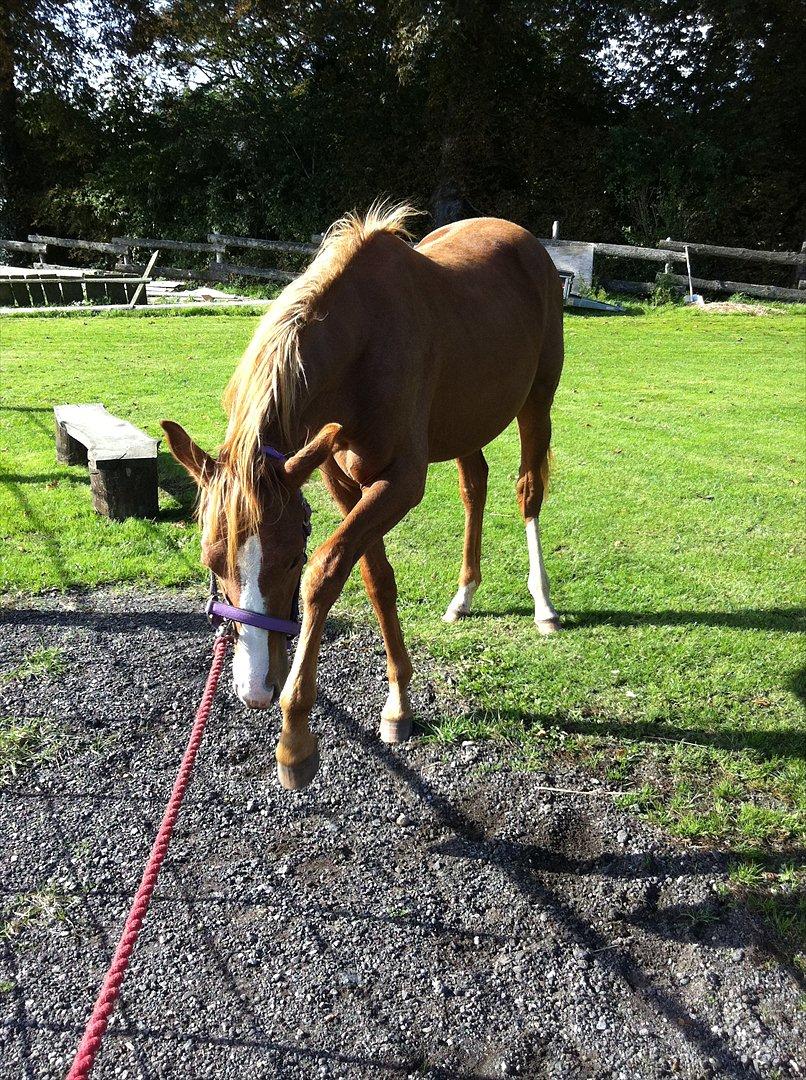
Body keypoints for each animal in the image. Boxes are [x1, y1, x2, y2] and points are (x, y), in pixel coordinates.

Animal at [162, 204, 561, 786]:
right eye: (212, 562)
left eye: (288, 559)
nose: (256, 689)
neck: (362, 347)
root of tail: (525, 240)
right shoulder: (342, 480)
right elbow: (375, 580)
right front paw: (398, 704)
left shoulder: (400, 483)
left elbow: (326, 571)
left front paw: (296, 742)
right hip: (467, 423)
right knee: (475, 486)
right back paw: (463, 595)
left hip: (537, 402)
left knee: (527, 493)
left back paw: (543, 606)